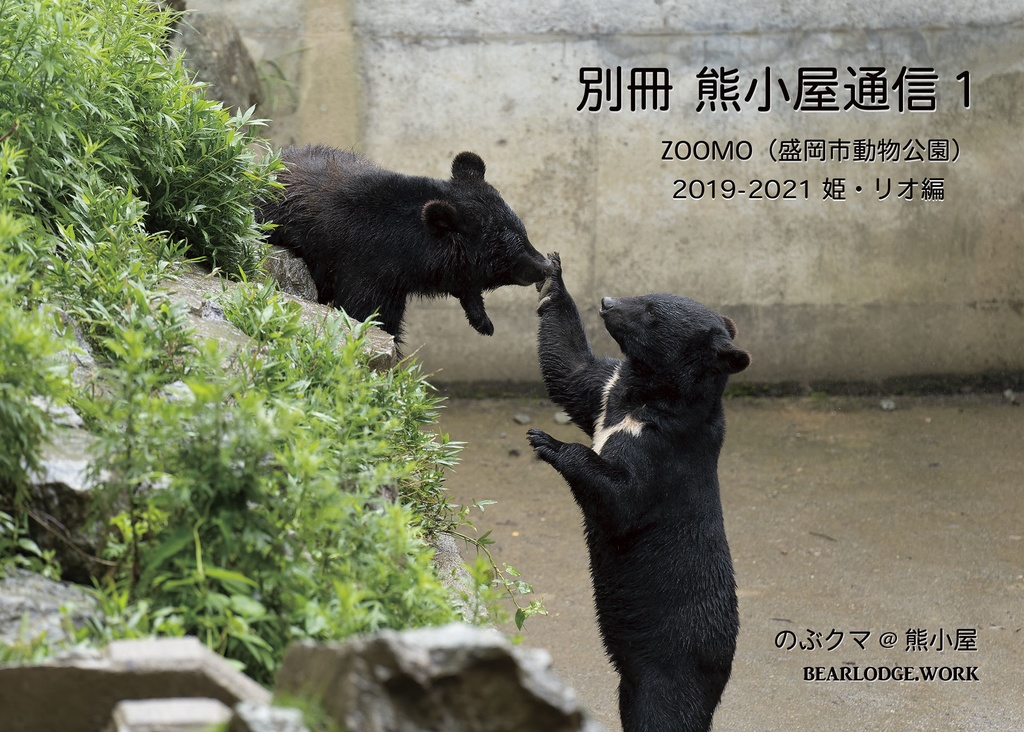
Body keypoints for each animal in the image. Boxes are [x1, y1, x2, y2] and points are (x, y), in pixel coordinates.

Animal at [256, 144, 552, 340]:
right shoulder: (363, 269)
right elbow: (369, 314)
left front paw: (482, 320)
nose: (545, 266)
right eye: (509, 249)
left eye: (524, 234)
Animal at [525, 253, 750, 732]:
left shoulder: (662, 452)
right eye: (648, 293)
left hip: (673, 665)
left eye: (651, 313)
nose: (607, 301)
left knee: (662, 715)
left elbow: (623, 501)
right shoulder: (608, 392)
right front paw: (554, 277)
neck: (644, 398)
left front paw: (548, 441)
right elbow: (572, 371)